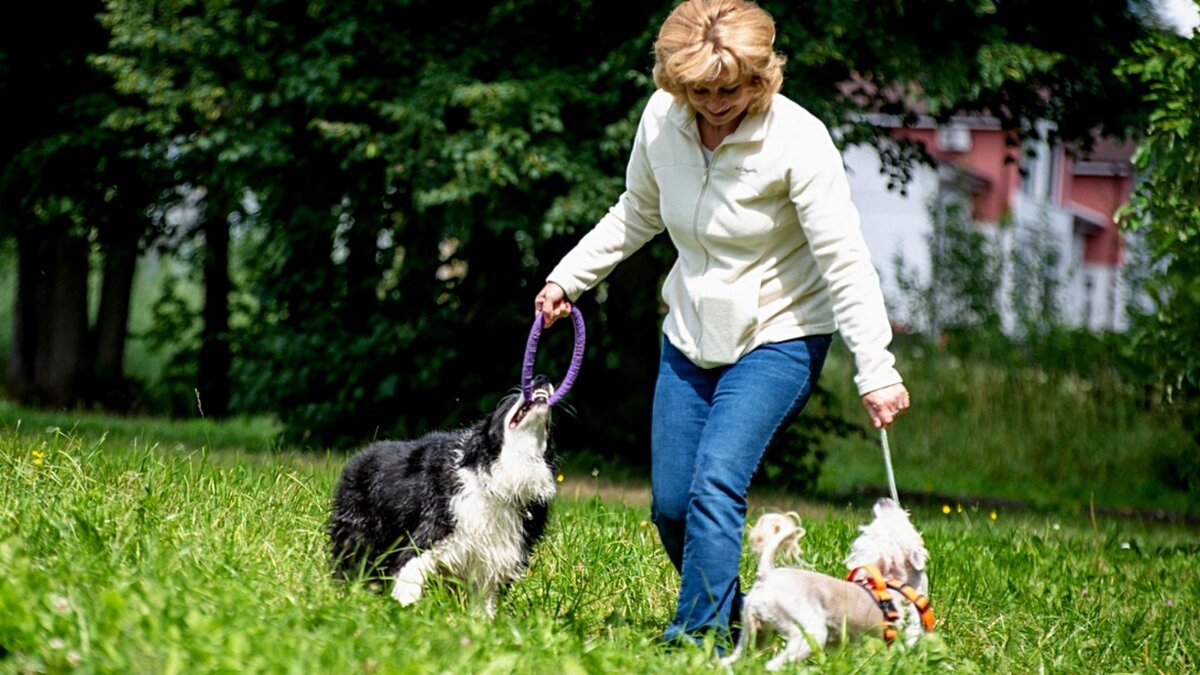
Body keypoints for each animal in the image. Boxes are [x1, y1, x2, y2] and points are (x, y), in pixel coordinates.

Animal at [326, 374, 554, 612]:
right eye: (507, 403)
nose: (541, 377)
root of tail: (362, 453)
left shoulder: (495, 556)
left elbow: (484, 604)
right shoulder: (434, 529)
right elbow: (410, 569)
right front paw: (404, 607)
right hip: (358, 529)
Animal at [720, 497, 926, 662]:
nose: (883, 500)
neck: (892, 581)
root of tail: (767, 575)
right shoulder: (906, 639)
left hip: (753, 634)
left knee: (732, 660)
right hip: (810, 633)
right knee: (772, 666)